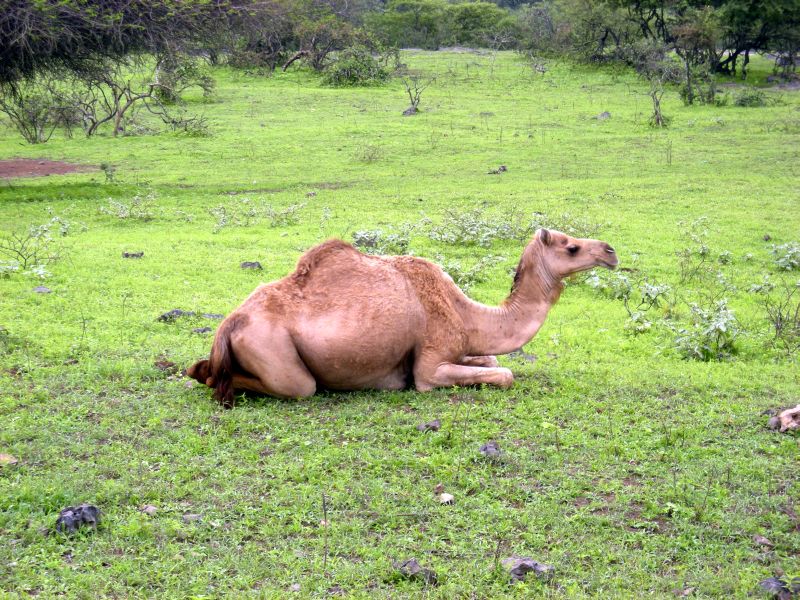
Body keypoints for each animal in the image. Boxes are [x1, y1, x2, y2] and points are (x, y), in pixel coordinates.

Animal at [186, 229, 618, 407]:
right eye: (571, 247)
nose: (611, 251)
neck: (465, 313)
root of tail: (227, 326)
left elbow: (492, 359)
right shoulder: (430, 365)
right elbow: (504, 373)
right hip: (275, 353)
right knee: (284, 384)